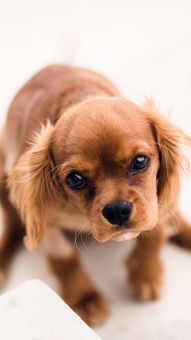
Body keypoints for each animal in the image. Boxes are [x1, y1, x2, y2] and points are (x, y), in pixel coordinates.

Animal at [0, 65, 191, 326]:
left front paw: (145, 274)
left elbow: (155, 231)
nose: (117, 210)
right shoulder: (47, 220)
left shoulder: (152, 199)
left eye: (140, 161)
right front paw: (84, 297)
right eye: (75, 179)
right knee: (12, 227)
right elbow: (64, 257)